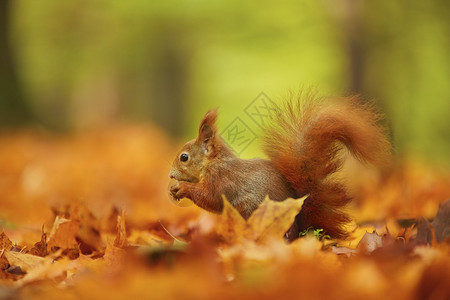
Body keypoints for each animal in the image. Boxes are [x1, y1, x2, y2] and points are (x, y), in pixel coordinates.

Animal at [169, 92, 390, 240]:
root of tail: (299, 232)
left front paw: (183, 188)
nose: (171, 175)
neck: (214, 163)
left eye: (184, 157)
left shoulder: (221, 179)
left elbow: (210, 198)